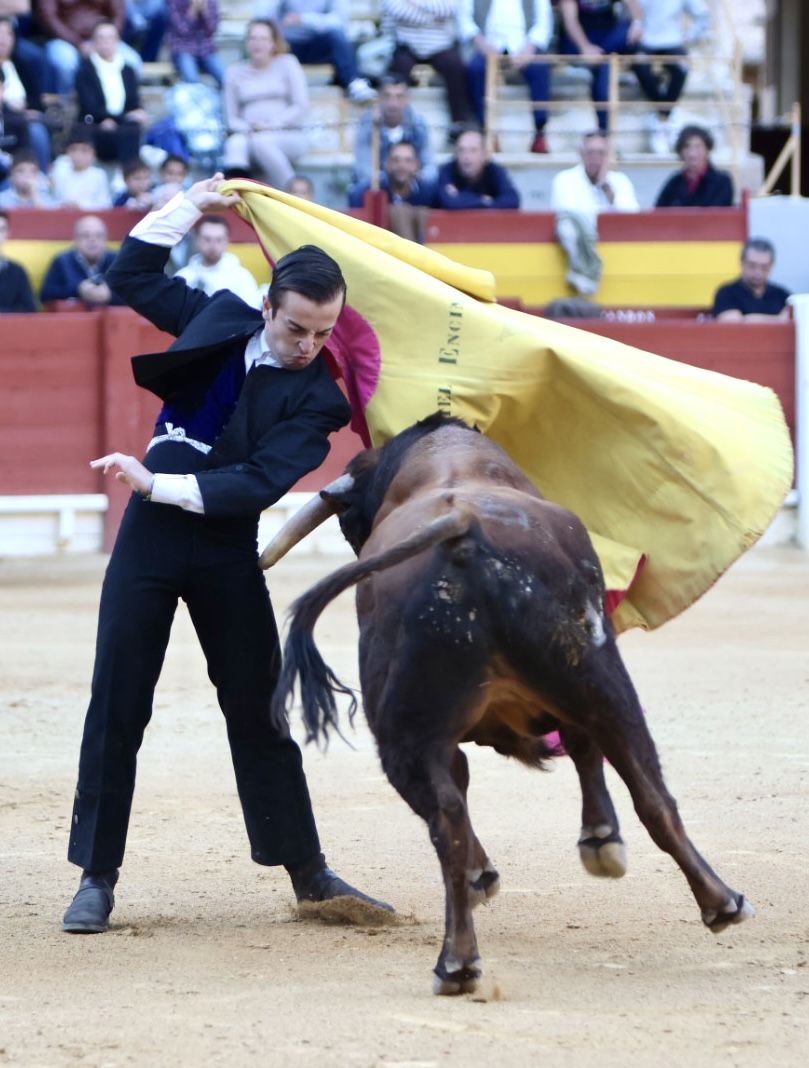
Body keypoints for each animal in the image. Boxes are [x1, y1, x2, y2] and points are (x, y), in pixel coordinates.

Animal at [268, 412, 752, 995]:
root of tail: (463, 535)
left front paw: (509, 868)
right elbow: (585, 751)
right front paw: (600, 839)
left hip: (410, 731)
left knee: (449, 818)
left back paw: (457, 961)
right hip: (600, 677)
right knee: (649, 792)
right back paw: (720, 902)